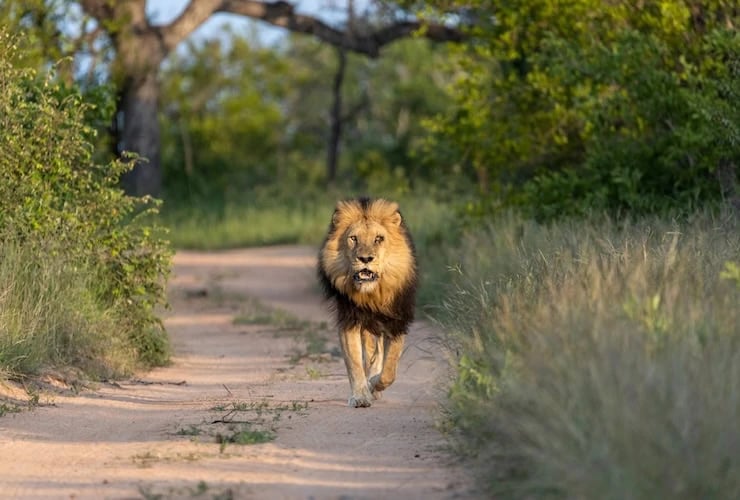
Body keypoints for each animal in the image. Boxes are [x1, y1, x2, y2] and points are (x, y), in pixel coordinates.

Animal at [318, 197, 417, 408]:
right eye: (353, 238)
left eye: (379, 239)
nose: (365, 258)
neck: (372, 294)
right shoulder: (350, 319)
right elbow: (355, 363)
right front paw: (360, 396)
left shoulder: (397, 321)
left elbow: (389, 370)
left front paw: (374, 384)